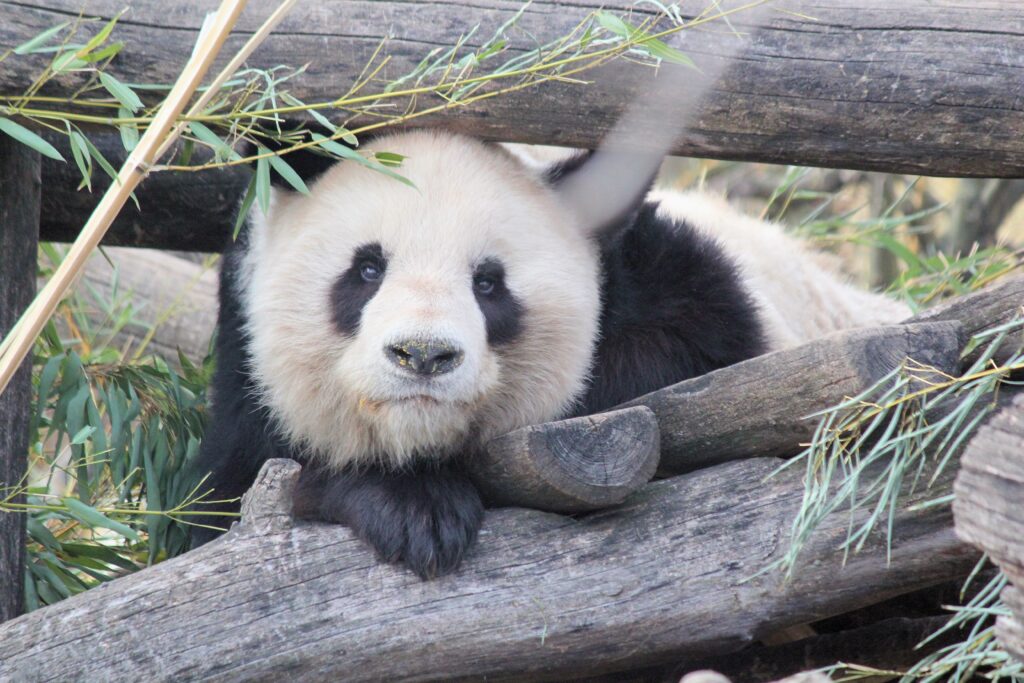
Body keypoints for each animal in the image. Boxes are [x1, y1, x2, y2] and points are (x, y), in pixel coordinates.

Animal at [192, 127, 913, 577]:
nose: (423, 355)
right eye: (367, 269)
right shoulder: (242, 380)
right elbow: (227, 499)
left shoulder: (697, 305)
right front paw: (415, 509)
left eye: (489, 283)